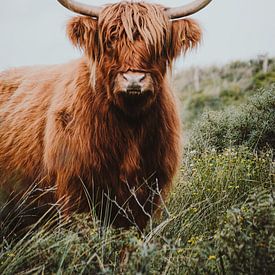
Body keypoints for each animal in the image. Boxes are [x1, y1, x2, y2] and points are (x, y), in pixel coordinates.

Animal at [0, 0, 213, 231]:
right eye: (111, 40)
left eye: (157, 43)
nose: (134, 79)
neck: (130, 125)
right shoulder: (75, 191)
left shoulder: (146, 193)